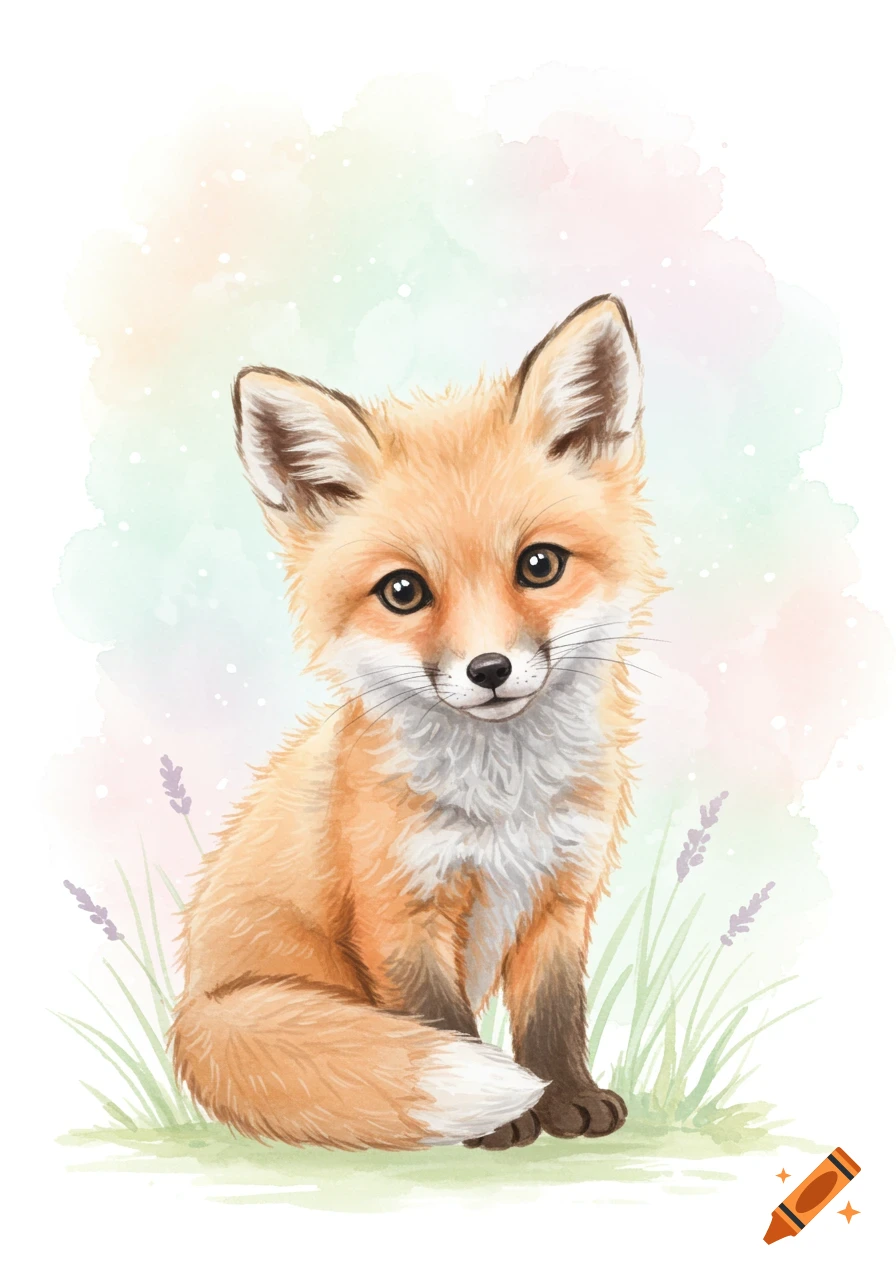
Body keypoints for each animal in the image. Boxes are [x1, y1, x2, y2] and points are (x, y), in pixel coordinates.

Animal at [171, 294, 663, 1151]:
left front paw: (568, 1098)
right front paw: (508, 1121)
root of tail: (195, 1007)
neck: (505, 804)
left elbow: (552, 1016)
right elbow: (442, 1022)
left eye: (540, 565)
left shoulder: (562, 898)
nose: (489, 670)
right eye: (403, 592)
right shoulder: (398, 910)